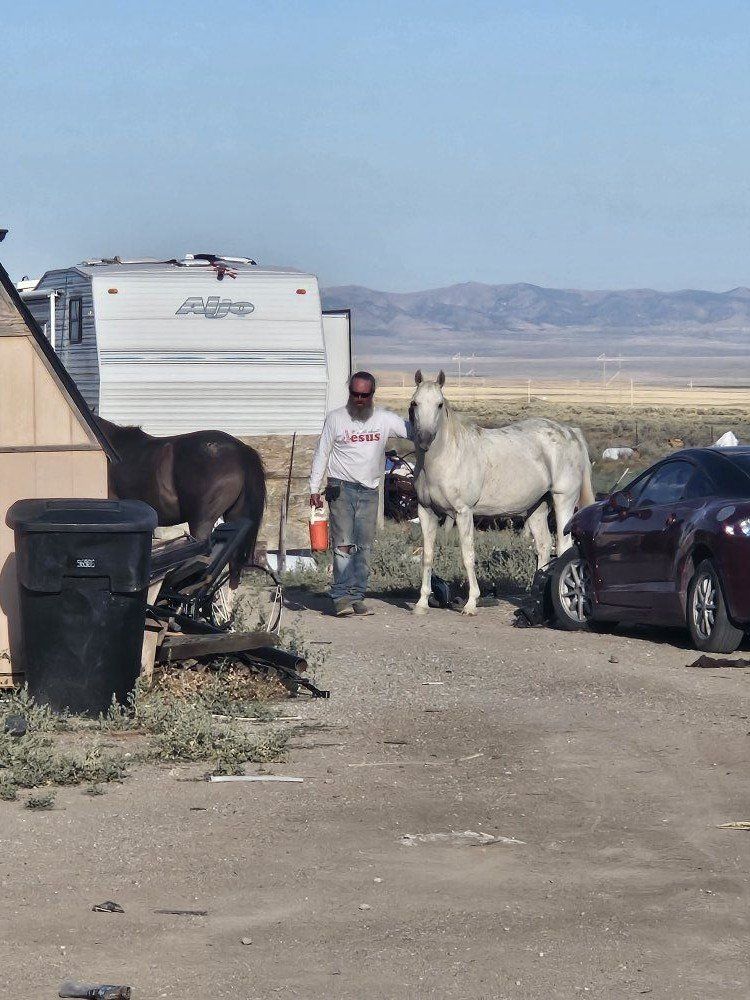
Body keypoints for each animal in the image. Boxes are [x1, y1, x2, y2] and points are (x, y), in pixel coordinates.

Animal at [409, 370, 594, 616]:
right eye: (415, 403)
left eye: (439, 404)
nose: (425, 439)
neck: (446, 456)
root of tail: (570, 432)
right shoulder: (426, 512)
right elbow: (427, 556)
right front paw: (421, 603)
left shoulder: (463, 513)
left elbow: (468, 555)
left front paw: (471, 603)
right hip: (537, 507)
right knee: (544, 546)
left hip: (563, 500)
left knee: (563, 546)